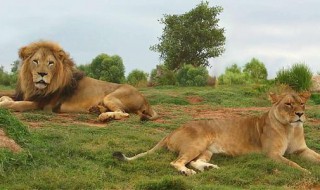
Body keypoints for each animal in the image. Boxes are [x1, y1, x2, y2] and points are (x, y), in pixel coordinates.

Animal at [0, 40, 159, 121]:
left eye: (51, 63)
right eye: (35, 61)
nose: (42, 74)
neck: (34, 87)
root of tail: (145, 99)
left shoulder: (42, 105)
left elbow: (14, 104)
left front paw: (4, 103)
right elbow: (7, 97)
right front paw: (4, 99)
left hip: (111, 96)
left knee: (124, 113)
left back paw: (104, 116)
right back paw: (96, 109)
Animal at [113, 91, 320, 176]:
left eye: (302, 103)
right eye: (288, 104)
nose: (300, 114)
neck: (291, 128)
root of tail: (173, 130)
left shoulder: (302, 150)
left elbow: (316, 156)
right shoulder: (272, 154)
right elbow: (293, 164)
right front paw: (306, 172)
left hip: (207, 149)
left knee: (195, 161)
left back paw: (209, 168)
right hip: (197, 144)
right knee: (178, 162)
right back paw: (187, 172)